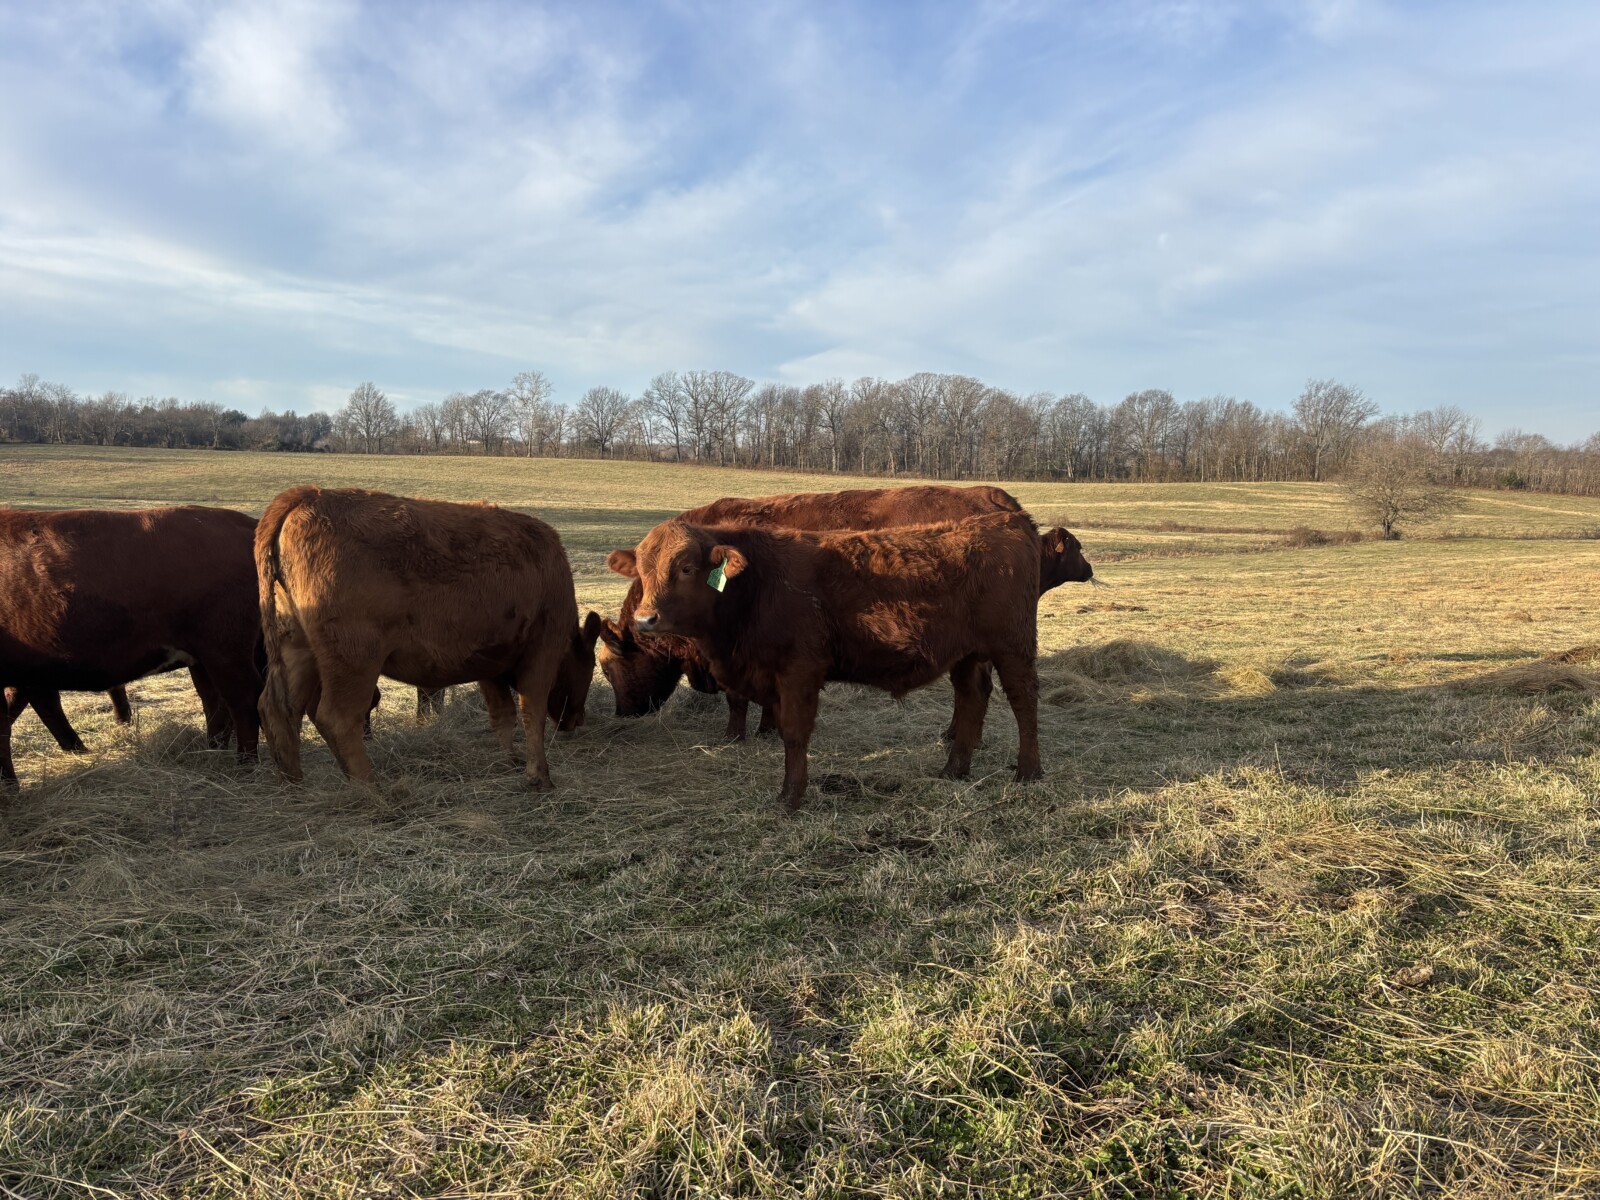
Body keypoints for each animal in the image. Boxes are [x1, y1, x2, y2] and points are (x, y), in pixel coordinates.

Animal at [0, 506, 262, 785]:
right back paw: (212, 751)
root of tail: (245, 523)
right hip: (204, 659)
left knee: (243, 701)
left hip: (225, 653)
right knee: (215, 702)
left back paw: (245, 766)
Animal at [255, 486, 599, 789]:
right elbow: (532, 713)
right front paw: (539, 776)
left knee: (280, 710)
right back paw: (374, 793)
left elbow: (503, 714)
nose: (578, 720)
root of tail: (307, 495)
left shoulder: (489, 664)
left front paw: (510, 761)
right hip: (355, 659)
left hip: (298, 648)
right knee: (338, 718)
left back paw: (294, 787)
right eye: (589, 666)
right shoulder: (542, 651)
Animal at [608, 511, 1043, 810]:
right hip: (966, 656)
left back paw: (1029, 772)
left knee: (1023, 701)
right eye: (642, 571)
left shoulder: (799, 671)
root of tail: (1006, 521)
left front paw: (790, 797)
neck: (758, 584)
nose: (645, 619)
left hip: (1014, 647)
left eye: (685, 567)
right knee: (972, 699)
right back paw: (954, 770)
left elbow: (795, 733)